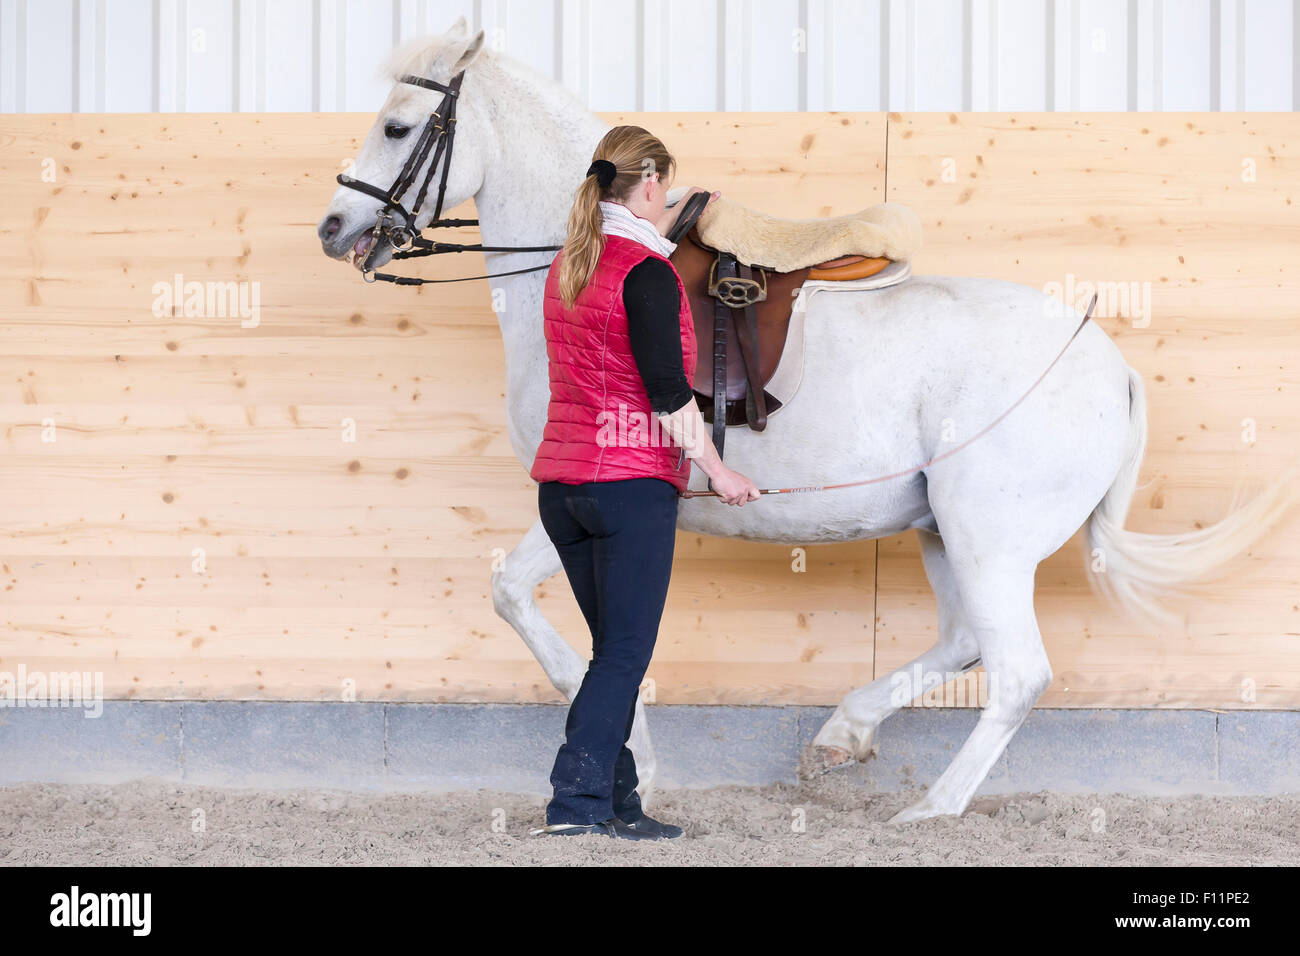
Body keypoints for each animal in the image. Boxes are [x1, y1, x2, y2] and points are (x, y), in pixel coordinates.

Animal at [319, 26, 1294, 827]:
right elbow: (573, 626)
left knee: (1016, 674)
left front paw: (639, 758)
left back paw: (928, 811)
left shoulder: (591, 495)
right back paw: (842, 735)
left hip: (989, 538)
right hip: (945, 530)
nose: (335, 226)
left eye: (398, 128)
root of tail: (1109, 364)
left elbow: (536, 612)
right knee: (965, 643)